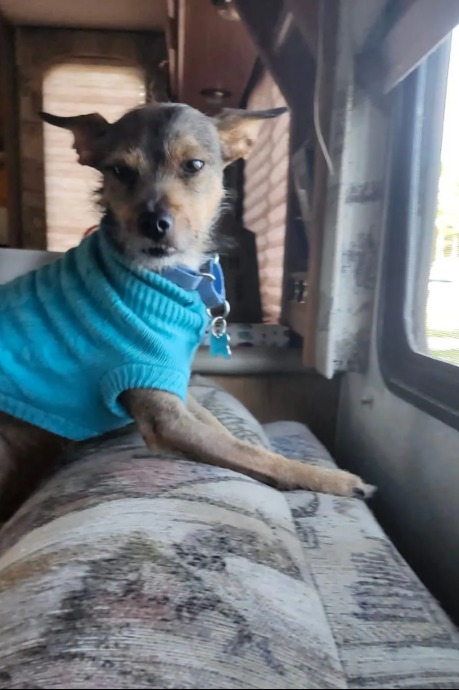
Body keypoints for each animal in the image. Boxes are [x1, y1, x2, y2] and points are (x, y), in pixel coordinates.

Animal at [0, 102, 373, 522]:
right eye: (120, 171)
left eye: (194, 165)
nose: (153, 223)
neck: (166, 277)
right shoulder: (163, 414)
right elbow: (250, 454)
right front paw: (328, 478)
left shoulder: (174, 383)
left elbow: (226, 434)